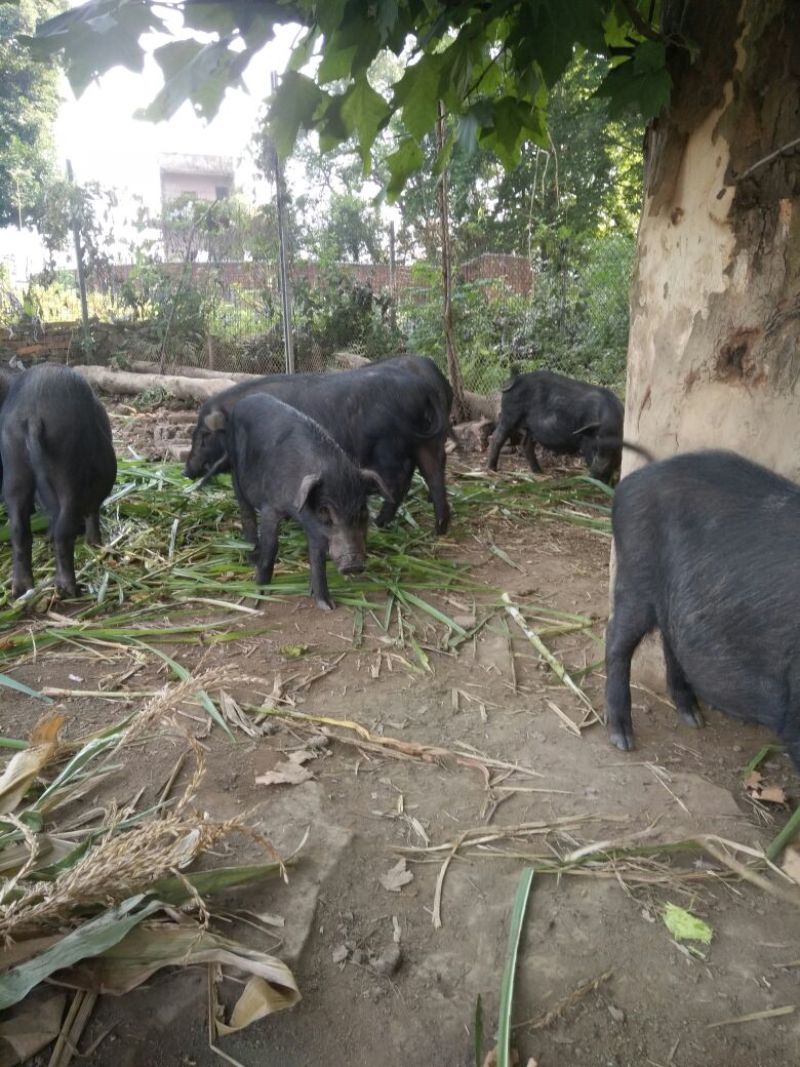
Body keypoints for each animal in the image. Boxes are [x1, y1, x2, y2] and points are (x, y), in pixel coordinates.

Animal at [0, 364, 118, 601]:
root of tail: (33, 412)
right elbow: (93, 512)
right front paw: (95, 543)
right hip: (67, 465)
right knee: (63, 531)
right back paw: (69, 589)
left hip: (13, 461)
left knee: (18, 529)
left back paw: (20, 590)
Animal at [217, 392, 392, 610]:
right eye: (324, 510)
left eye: (362, 510)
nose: (353, 564)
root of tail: (245, 399)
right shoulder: (271, 508)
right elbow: (271, 548)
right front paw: (259, 597)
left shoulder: (316, 529)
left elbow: (317, 557)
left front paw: (326, 605)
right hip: (235, 473)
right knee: (246, 513)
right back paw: (251, 556)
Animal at [488, 369, 627, 482]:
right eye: (597, 440)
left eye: (617, 444)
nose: (598, 470)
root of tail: (516, 379)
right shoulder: (586, 441)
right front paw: (597, 481)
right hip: (509, 415)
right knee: (497, 438)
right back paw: (492, 469)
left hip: (529, 427)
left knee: (526, 444)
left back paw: (539, 471)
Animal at [605, 450, 800, 768]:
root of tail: (632, 481)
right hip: (635, 577)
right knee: (616, 641)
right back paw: (622, 739)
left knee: (671, 639)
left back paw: (693, 718)